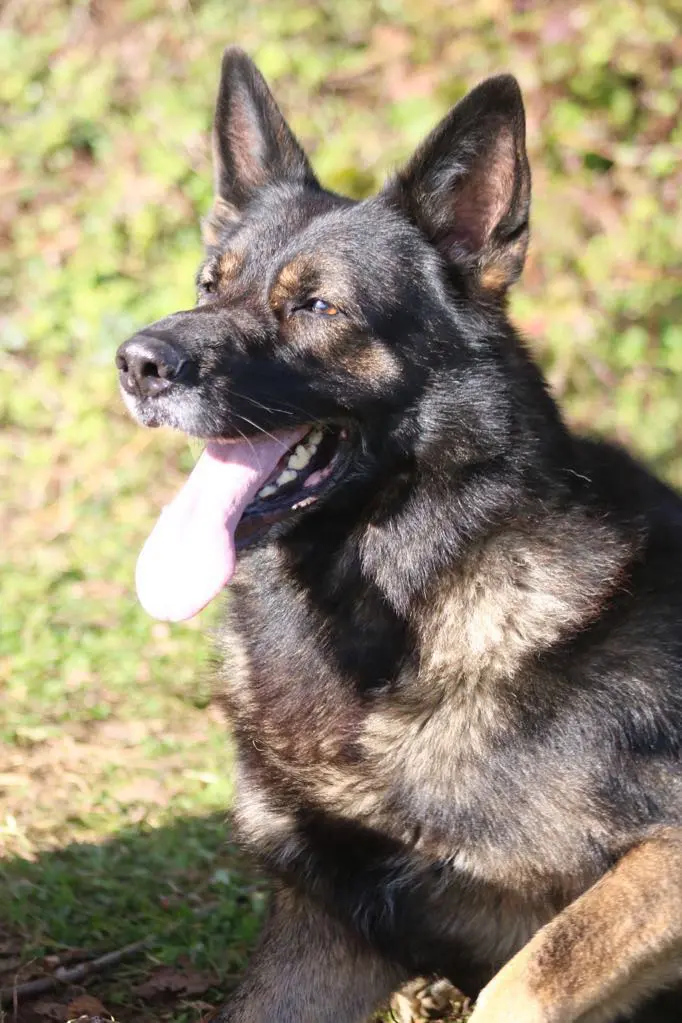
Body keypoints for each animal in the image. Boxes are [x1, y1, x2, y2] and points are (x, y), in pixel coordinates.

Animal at [117, 49, 682, 1023]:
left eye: (315, 305)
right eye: (208, 284)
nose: (137, 363)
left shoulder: (662, 854)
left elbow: (524, 982)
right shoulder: (327, 928)